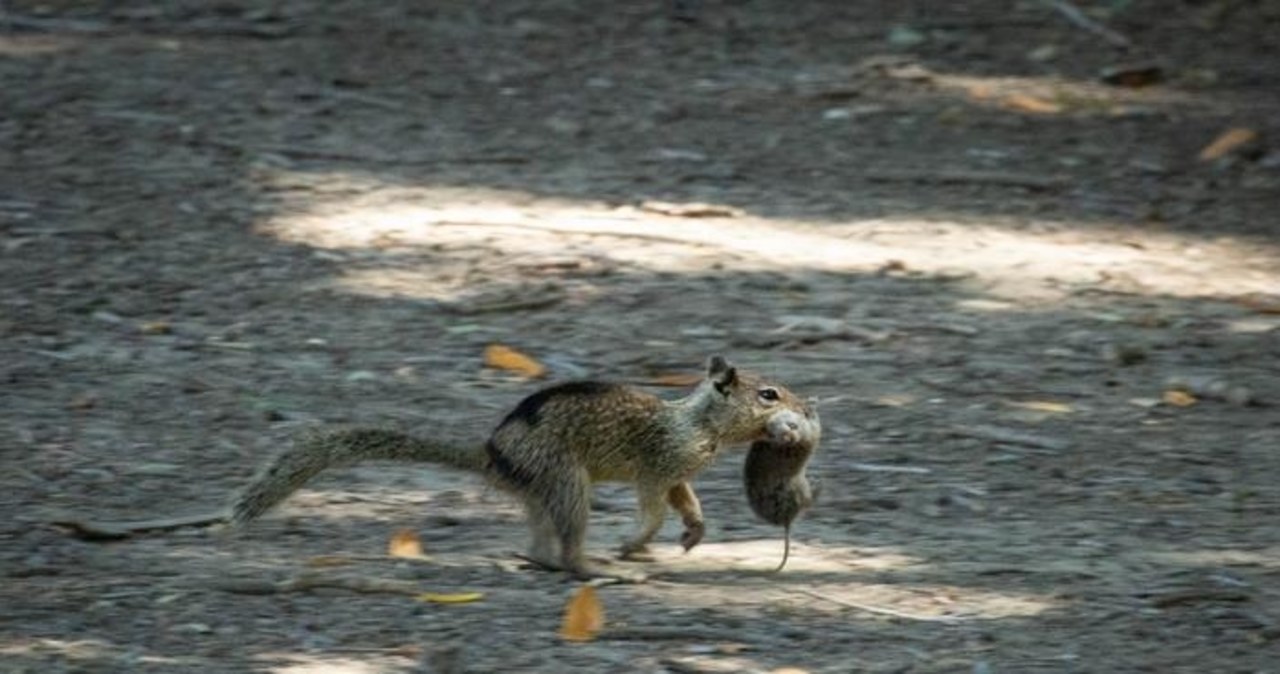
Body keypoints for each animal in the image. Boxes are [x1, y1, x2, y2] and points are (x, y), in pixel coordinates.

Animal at [229, 355, 808, 578]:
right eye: (768, 394)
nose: (806, 408)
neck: (700, 423)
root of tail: (491, 454)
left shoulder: (678, 474)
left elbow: (687, 502)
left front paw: (693, 533)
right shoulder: (657, 465)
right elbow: (654, 509)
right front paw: (635, 542)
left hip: (542, 492)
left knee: (540, 540)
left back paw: (538, 560)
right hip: (567, 482)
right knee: (570, 544)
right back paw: (594, 567)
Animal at [742, 404, 819, 572]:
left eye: (792, 425)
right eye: (772, 431)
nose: (789, 434)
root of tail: (786, 521)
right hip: (801, 490)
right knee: (808, 502)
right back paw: (819, 486)